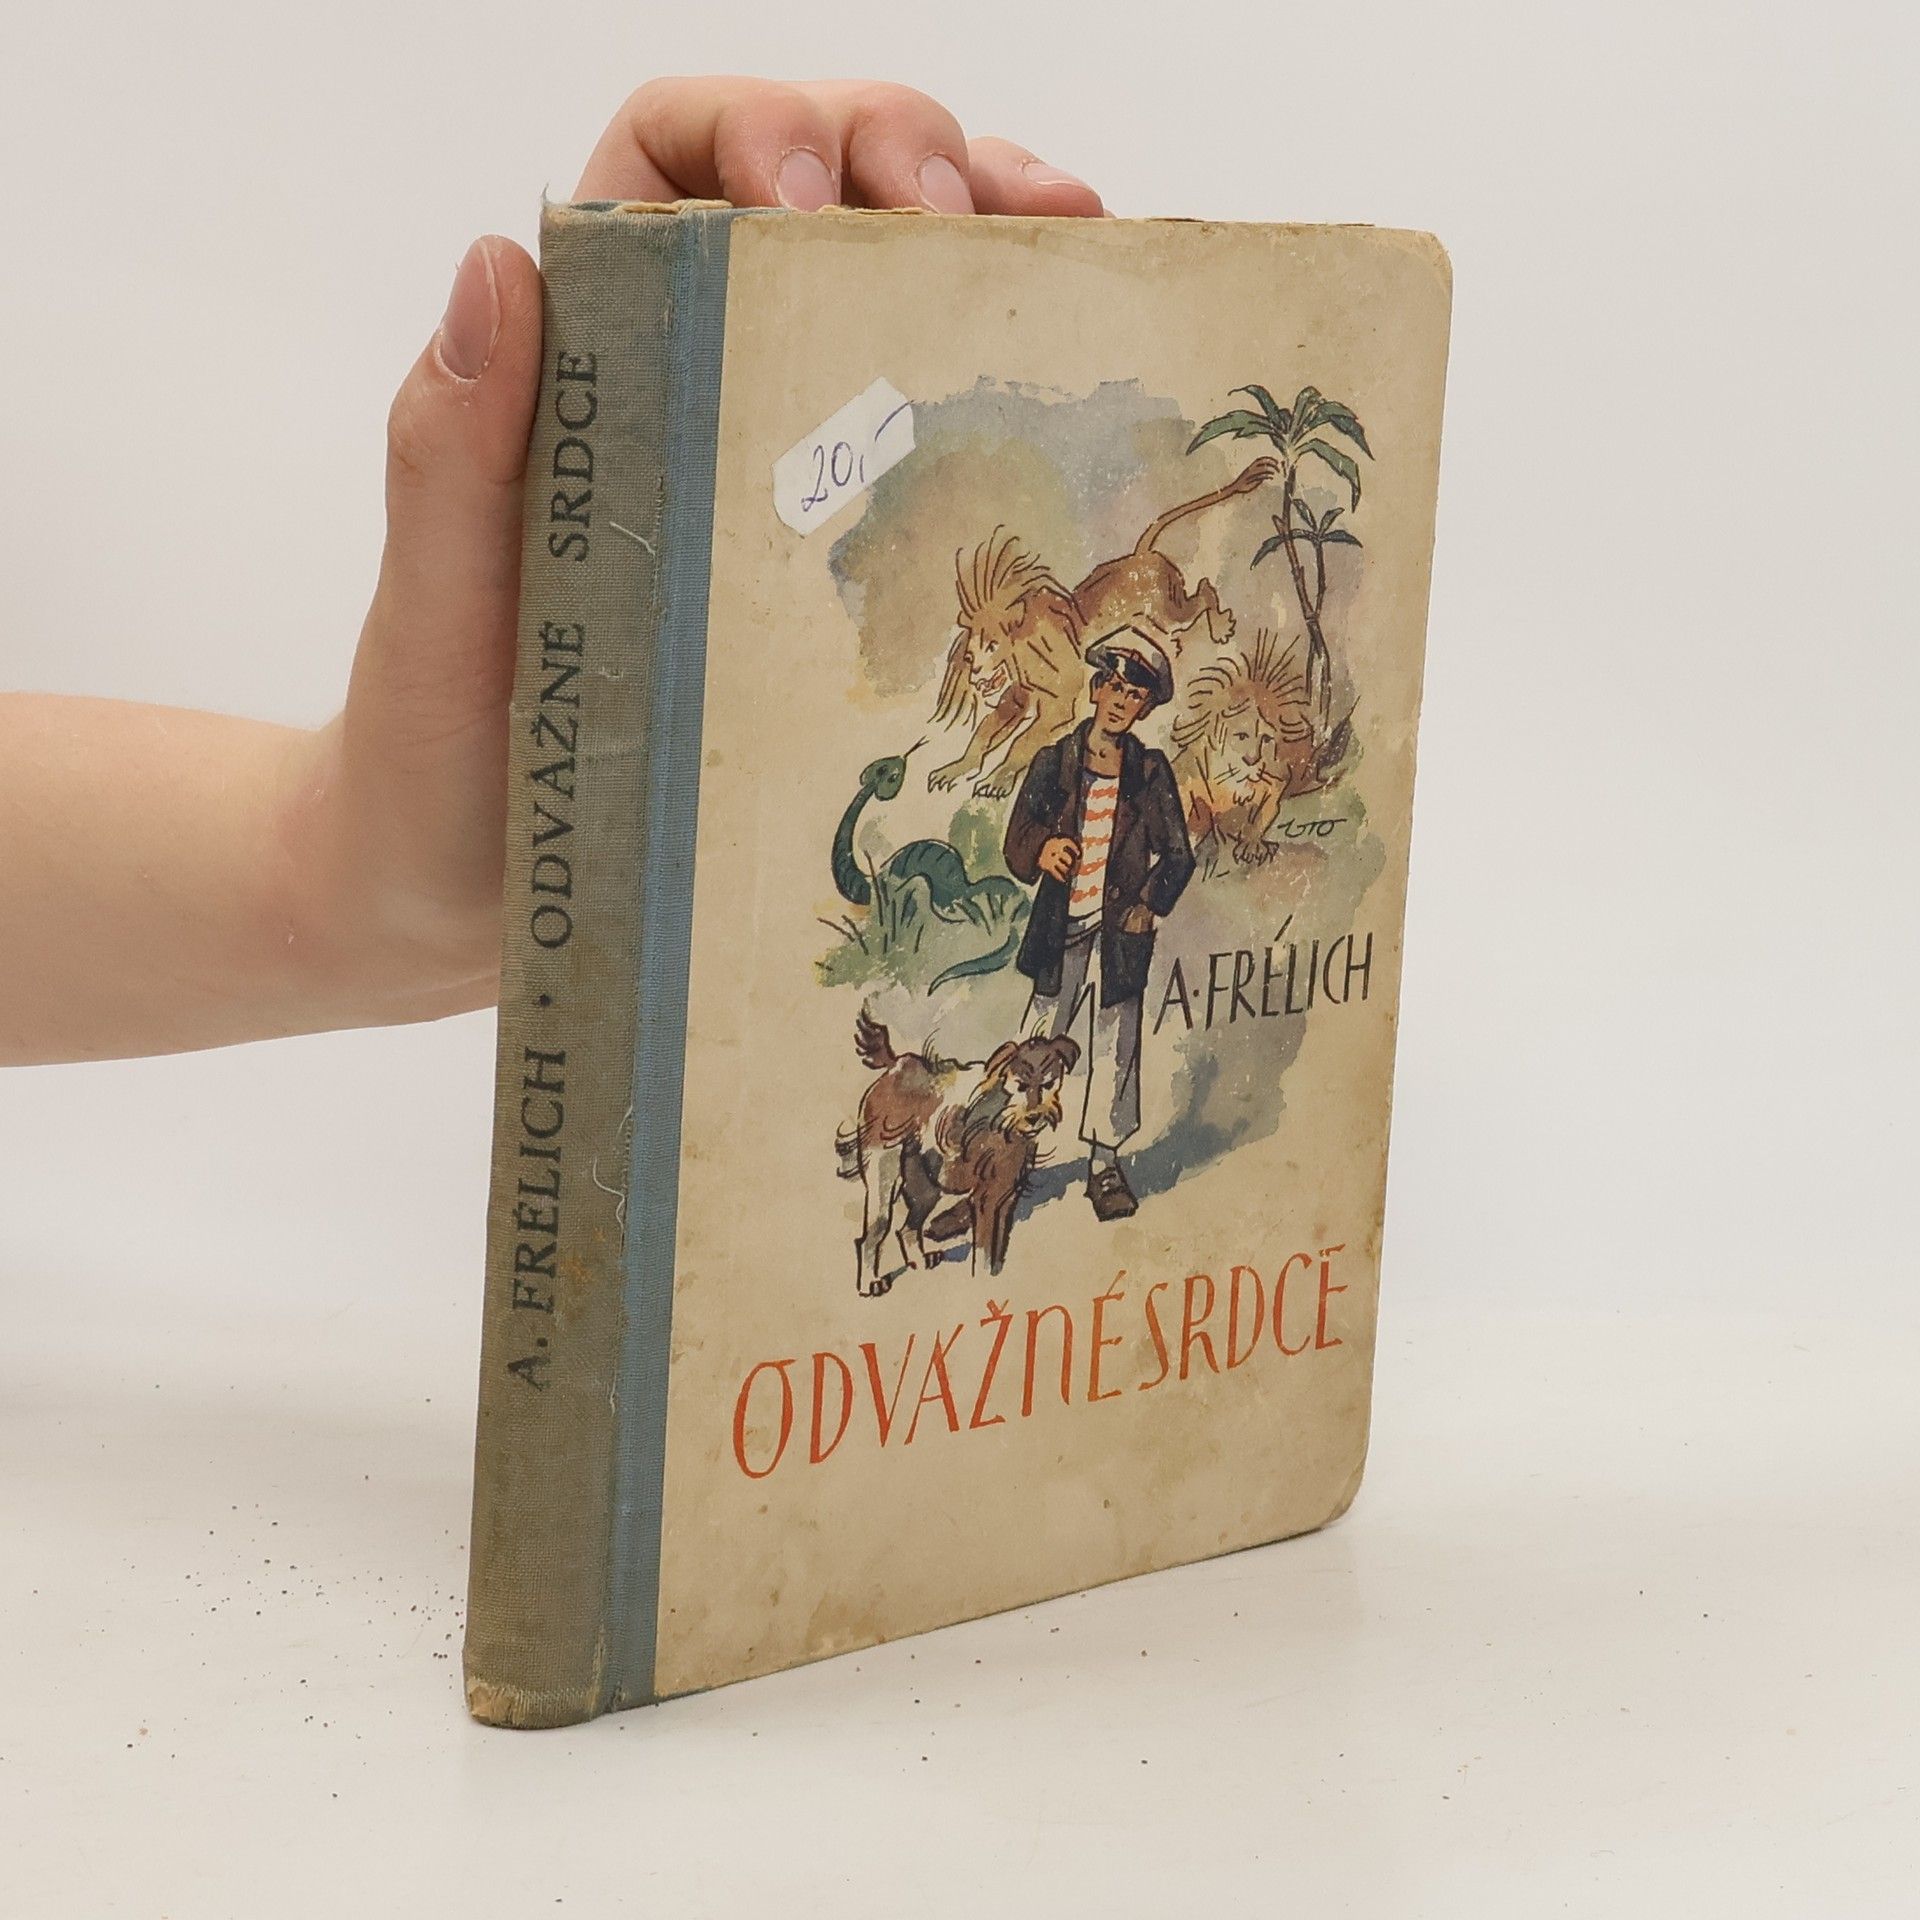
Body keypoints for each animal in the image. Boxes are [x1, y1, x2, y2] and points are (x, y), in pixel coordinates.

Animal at [837, 1009, 1079, 1292]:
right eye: (1019, 1085)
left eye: (1048, 1084)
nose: (1033, 1117)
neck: (1004, 1120)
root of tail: (896, 1064)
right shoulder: (984, 1200)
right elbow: (984, 1252)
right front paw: (983, 1279)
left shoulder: (1005, 1199)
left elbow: (997, 1251)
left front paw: (995, 1278)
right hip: (885, 1175)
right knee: (874, 1233)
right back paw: (870, 1283)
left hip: (926, 1187)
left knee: (907, 1229)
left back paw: (919, 1260)